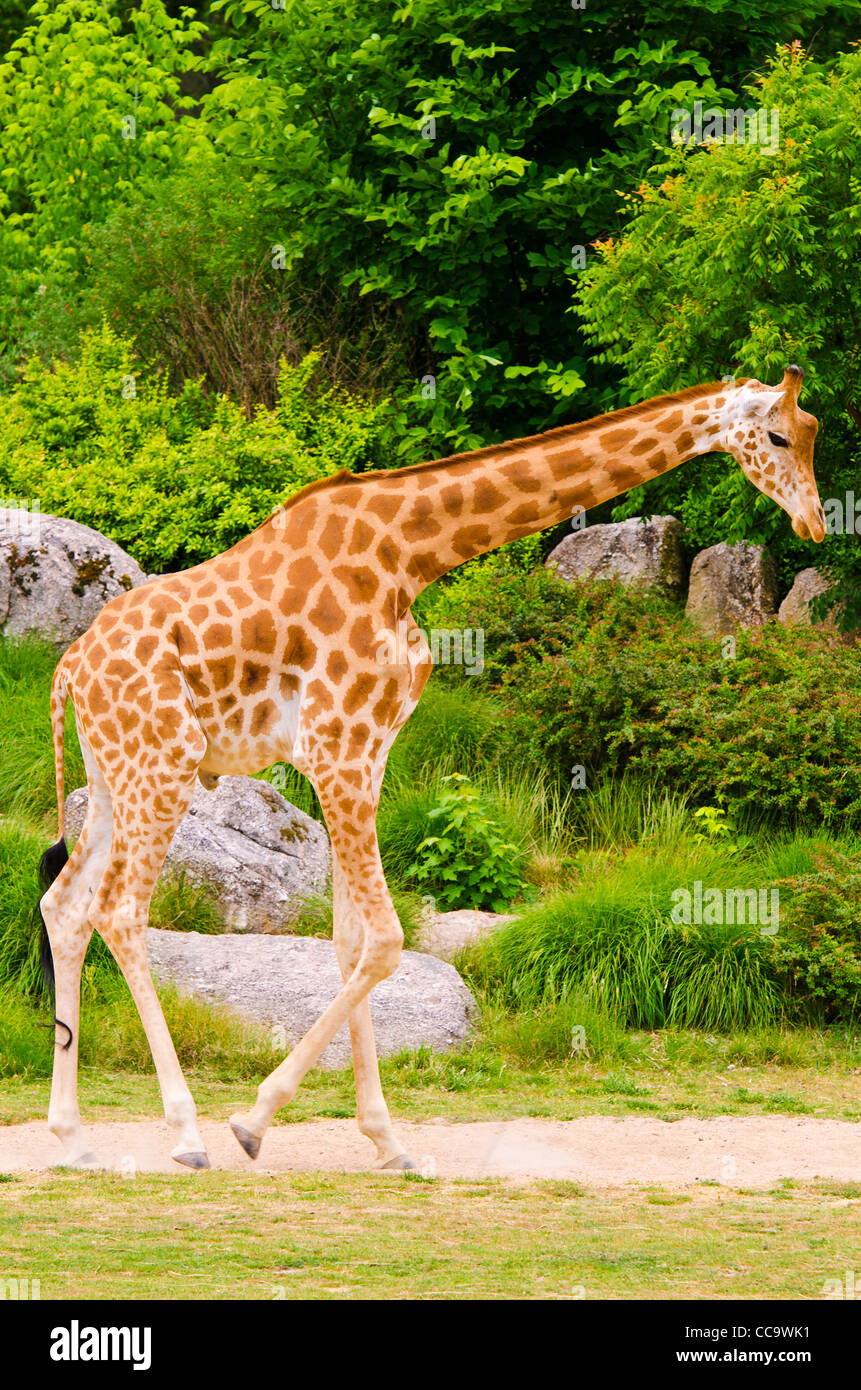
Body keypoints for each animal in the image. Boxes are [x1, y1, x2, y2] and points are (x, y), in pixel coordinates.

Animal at [37, 364, 823, 1167]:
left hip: (114, 774)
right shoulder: (339, 744)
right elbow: (386, 940)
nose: (815, 524)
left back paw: (71, 1136)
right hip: (163, 766)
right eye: (777, 435)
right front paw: (254, 1119)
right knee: (119, 911)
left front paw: (386, 1140)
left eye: (812, 431)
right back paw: (187, 1132)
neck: (411, 553)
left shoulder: (368, 749)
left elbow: (351, 939)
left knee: (65, 907)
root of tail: (68, 665)